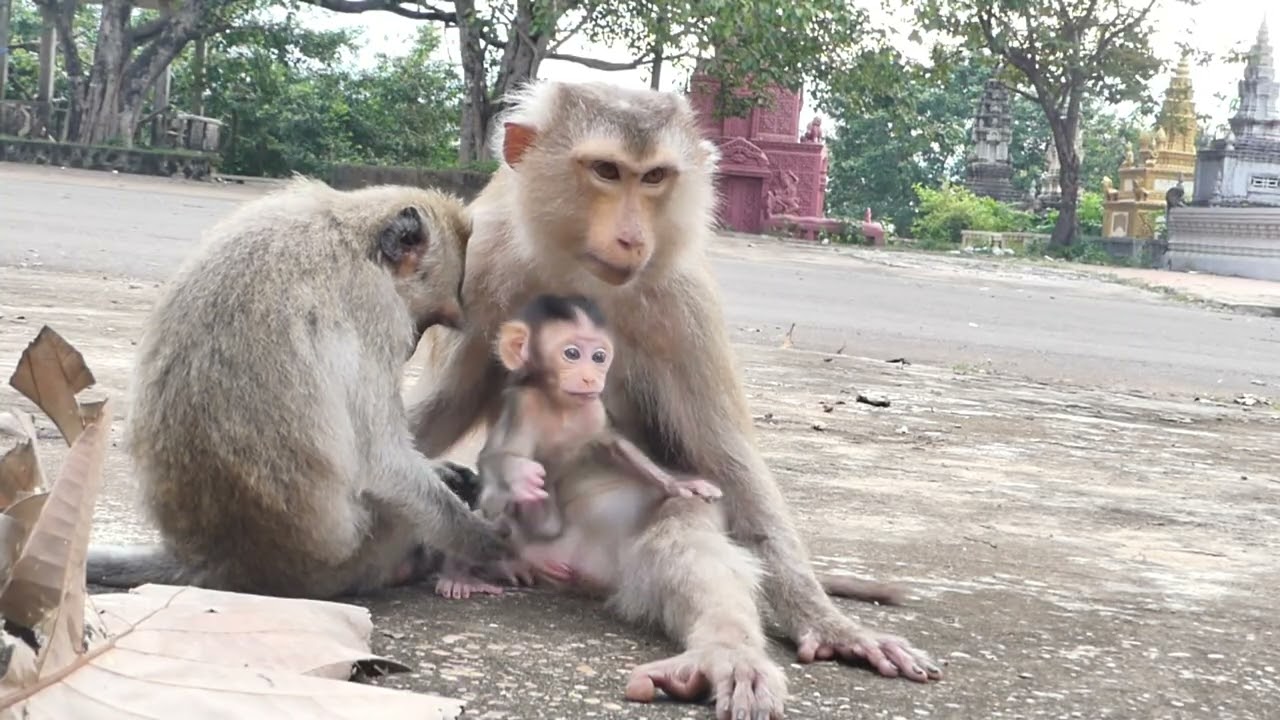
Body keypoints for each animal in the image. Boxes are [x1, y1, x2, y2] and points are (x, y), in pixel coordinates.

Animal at [85, 178, 516, 600]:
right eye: (426, 321)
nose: (411, 346)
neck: (350, 234)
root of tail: (217, 560)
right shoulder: (375, 307)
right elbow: (382, 461)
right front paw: (490, 542)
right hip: (355, 553)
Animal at [402, 81, 941, 719]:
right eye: (607, 170)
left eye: (655, 177)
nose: (633, 236)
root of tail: (575, 567)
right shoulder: (482, 267)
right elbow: (443, 405)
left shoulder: (684, 301)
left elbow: (726, 459)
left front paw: (829, 622)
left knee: (685, 528)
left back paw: (723, 654)